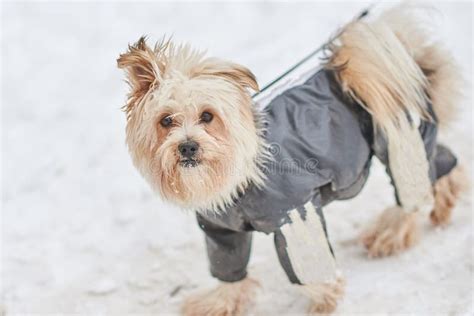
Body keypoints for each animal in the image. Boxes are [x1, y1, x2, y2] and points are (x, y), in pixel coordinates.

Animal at [117, 5, 466, 316]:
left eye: (207, 116)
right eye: (166, 121)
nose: (188, 147)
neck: (240, 174)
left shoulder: (295, 214)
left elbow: (309, 264)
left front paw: (325, 299)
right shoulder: (221, 231)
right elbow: (229, 268)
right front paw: (220, 303)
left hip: (398, 139)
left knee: (413, 189)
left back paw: (391, 233)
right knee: (441, 162)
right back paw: (443, 203)